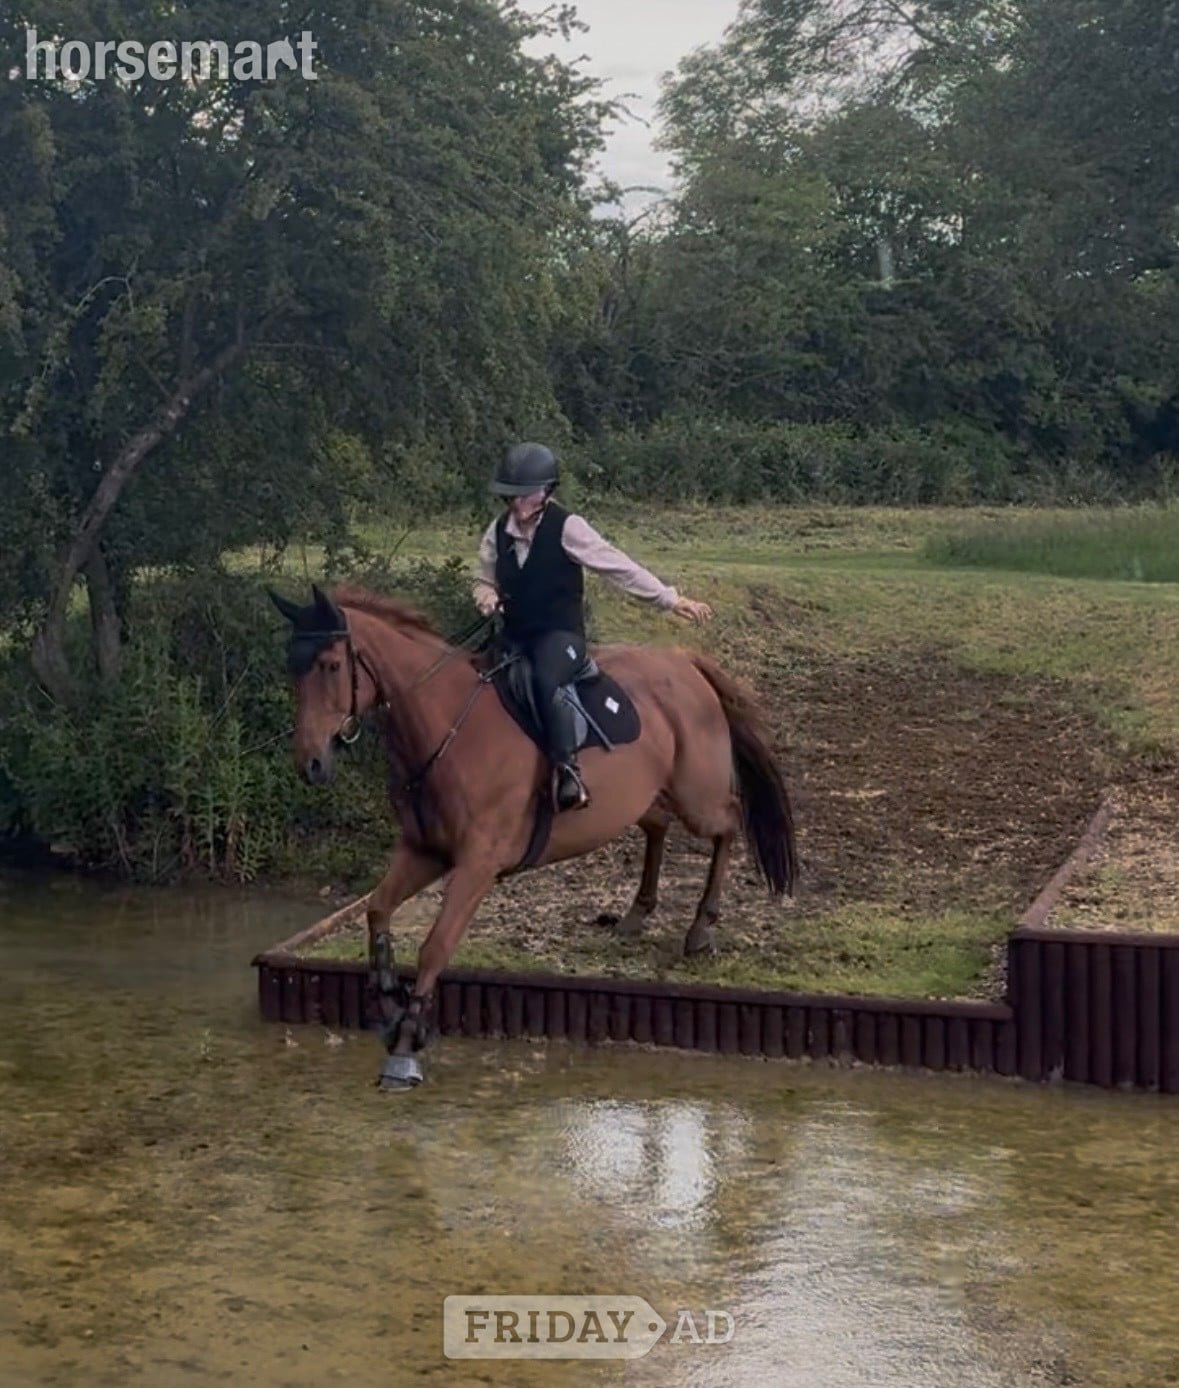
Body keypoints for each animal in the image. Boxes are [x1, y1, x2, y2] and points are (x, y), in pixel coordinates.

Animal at [268, 582, 799, 1091]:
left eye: (331, 665)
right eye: (292, 669)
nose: (310, 764)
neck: (447, 728)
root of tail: (684, 660)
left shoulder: (478, 864)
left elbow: (436, 946)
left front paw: (406, 1046)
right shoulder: (424, 851)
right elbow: (377, 910)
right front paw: (389, 1004)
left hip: (697, 796)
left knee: (729, 822)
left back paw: (701, 928)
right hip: (648, 795)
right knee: (657, 825)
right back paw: (636, 913)